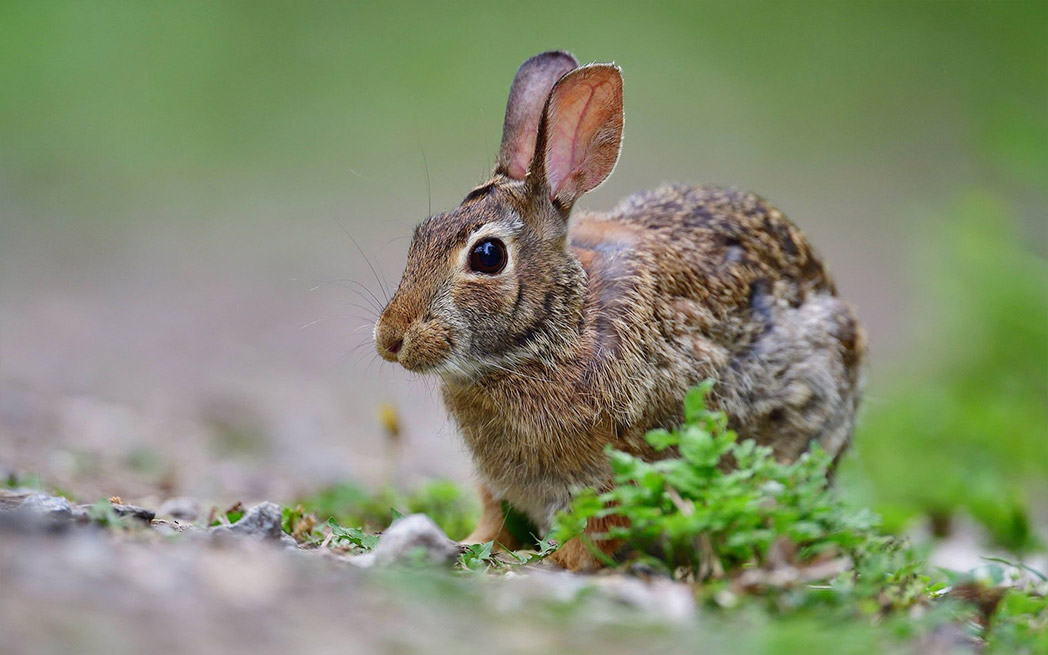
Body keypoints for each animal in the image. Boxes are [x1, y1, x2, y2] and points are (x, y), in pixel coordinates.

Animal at [374, 51, 866, 570]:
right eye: (422, 232)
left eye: (488, 255)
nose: (390, 339)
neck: (558, 330)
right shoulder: (497, 482)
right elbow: (496, 518)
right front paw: (471, 543)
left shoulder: (623, 467)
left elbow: (599, 530)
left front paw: (555, 562)